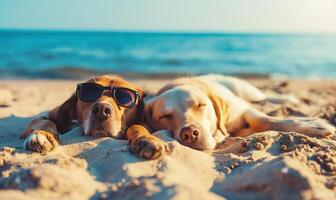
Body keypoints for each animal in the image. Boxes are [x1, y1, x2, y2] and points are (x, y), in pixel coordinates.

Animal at [19, 75, 169, 159]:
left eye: (126, 97)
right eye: (90, 91)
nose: (102, 110)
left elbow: (137, 126)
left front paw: (147, 140)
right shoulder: (45, 116)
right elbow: (46, 122)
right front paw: (42, 135)